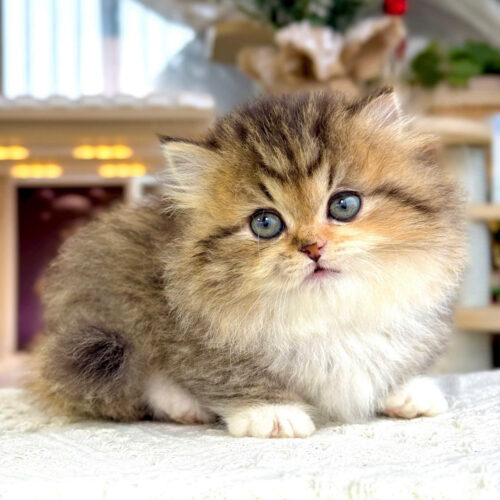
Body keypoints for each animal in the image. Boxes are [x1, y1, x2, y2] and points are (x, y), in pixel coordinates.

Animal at [30, 88, 466, 438]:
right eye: (265, 223)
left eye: (344, 205)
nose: (313, 248)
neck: (326, 316)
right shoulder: (191, 336)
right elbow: (232, 375)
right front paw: (270, 413)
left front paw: (404, 388)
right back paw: (182, 404)